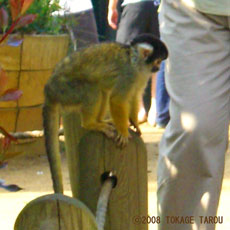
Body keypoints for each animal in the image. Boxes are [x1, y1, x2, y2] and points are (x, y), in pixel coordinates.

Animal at [43, 33, 168, 193]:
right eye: (158, 61)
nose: (157, 68)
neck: (135, 62)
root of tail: (48, 90)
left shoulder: (141, 75)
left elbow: (134, 96)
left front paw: (134, 123)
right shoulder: (129, 74)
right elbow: (117, 99)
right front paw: (123, 132)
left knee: (102, 90)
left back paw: (101, 121)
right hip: (65, 89)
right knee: (93, 89)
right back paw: (91, 124)